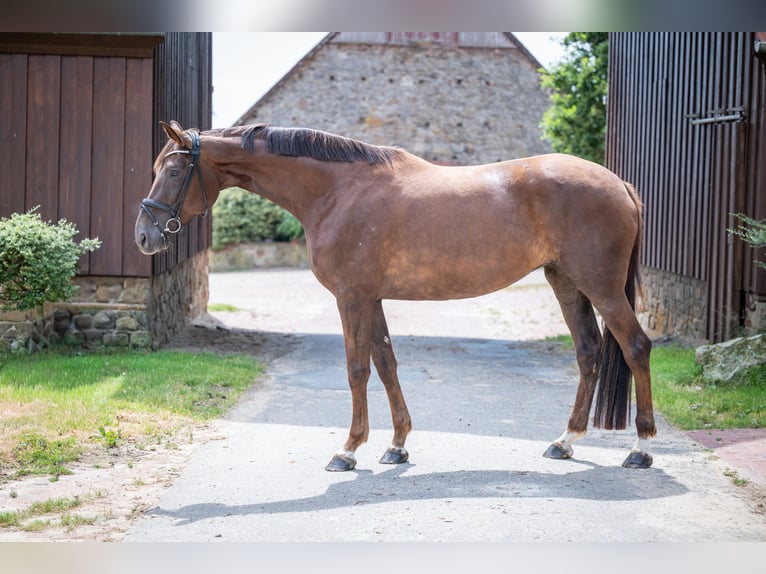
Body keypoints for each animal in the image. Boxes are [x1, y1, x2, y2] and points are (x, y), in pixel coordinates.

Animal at [135, 120, 656, 472]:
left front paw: (347, 450)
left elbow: (356, 369)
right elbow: (386, 363)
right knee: (589, 352)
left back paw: (641, 448)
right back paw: (565, 441)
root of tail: (620, 183)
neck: (337, 190)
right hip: (565, 282)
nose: (144, 236)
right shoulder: (372, 299)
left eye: (175, 170)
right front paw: (397, 444)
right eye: (157, 167)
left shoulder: (351, 297)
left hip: (601, 287)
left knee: (635, 347)